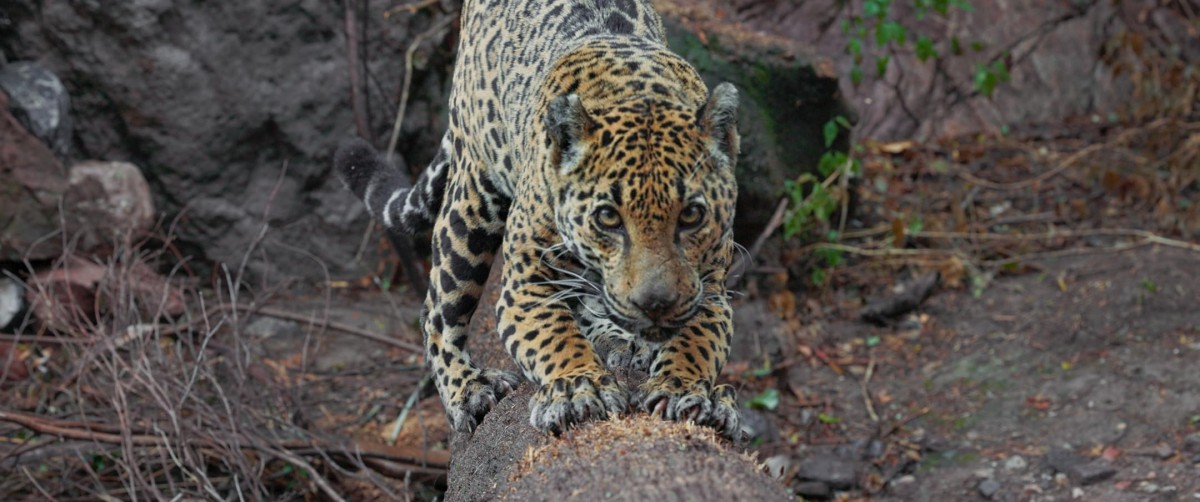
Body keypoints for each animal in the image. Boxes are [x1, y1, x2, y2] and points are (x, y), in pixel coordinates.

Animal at [335, 0, 742, 437]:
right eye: (608, 218)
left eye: (692, 215)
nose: (655, 303)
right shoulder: (527, 284)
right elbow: (554, 337)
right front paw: (579, 389)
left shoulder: (710, 290)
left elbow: (697, 341)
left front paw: (684, 388)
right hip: (471, 201)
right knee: (437, 312)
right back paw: (469, 389)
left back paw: (616, 338)